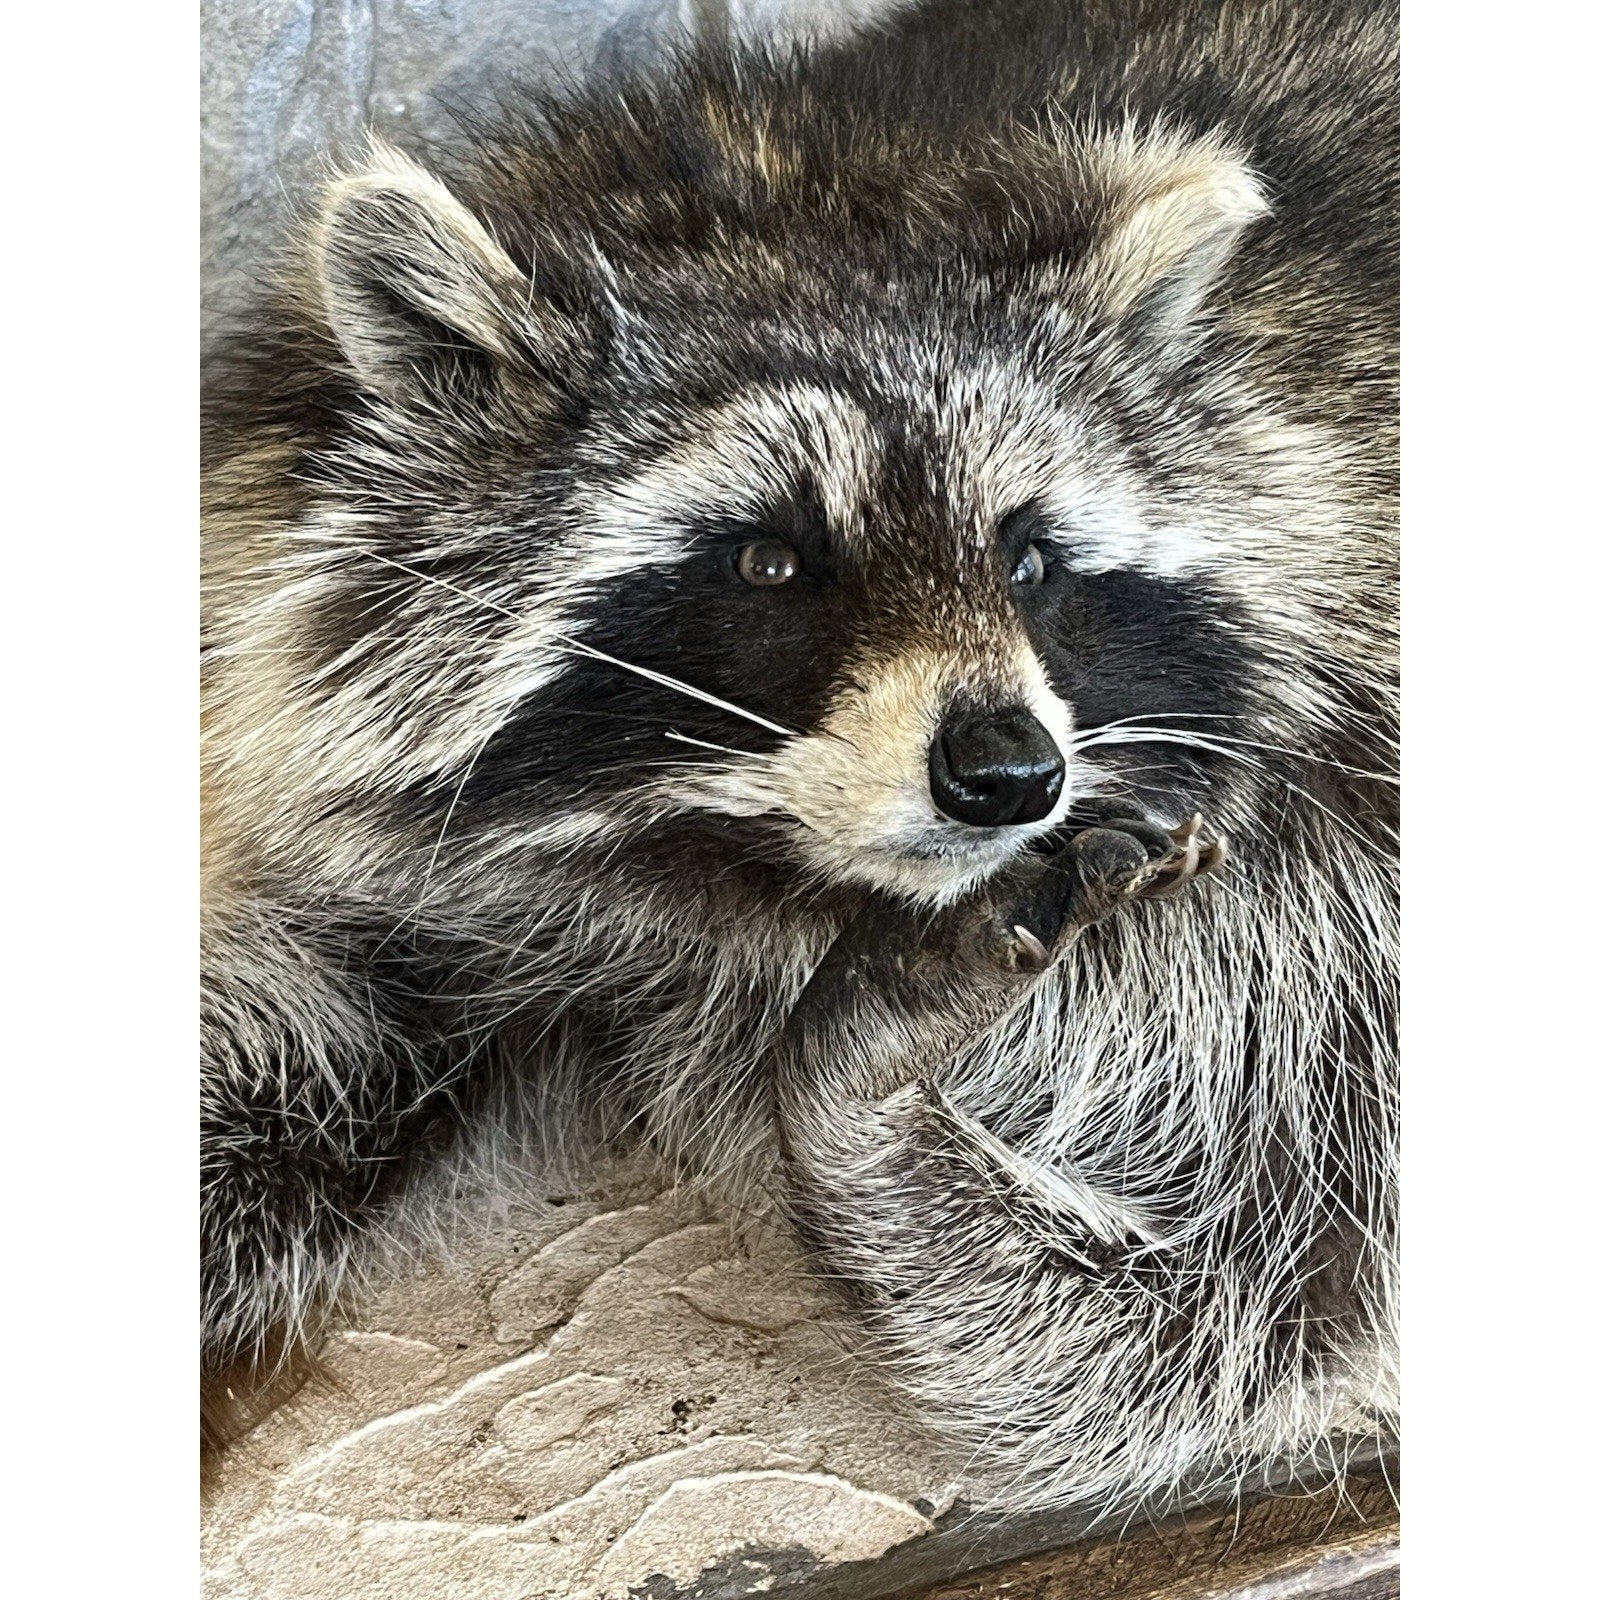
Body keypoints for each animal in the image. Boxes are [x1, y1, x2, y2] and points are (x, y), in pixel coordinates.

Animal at [201, 0, 1397, 1508]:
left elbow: (1238, 1313)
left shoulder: (1333, 853)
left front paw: (867, 1118)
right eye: (769, 561)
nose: (1009, 774)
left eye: (1028, 558)